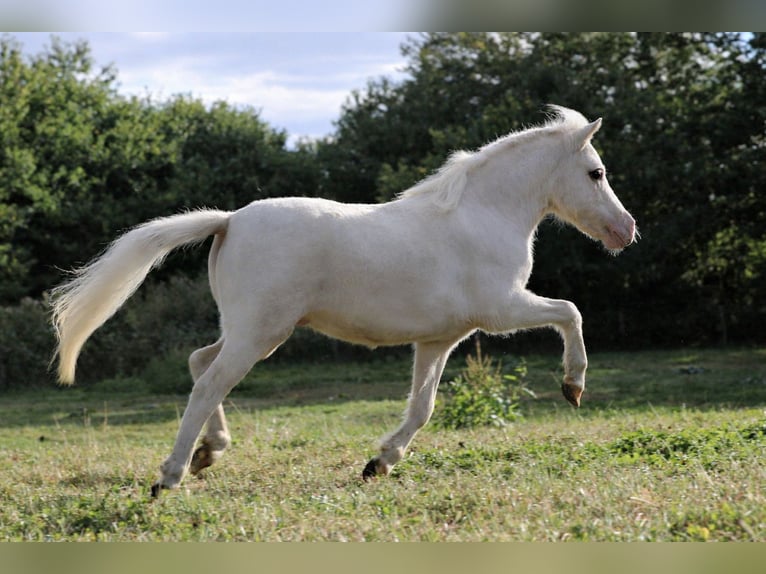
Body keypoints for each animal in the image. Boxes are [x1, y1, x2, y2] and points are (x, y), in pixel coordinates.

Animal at [51, 106, 636, 496]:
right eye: (597, 173)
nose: (625, 231)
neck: (483, 214)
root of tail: (229, 220)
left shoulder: (439, 338)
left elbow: (422, 407)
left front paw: (380, 462)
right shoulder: (504, 309)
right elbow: (570, 312)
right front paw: (573, 387)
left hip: (251, 331)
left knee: (199, 363)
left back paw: (207, 455)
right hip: (260, 333)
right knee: (209, 382)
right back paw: (170, 477)